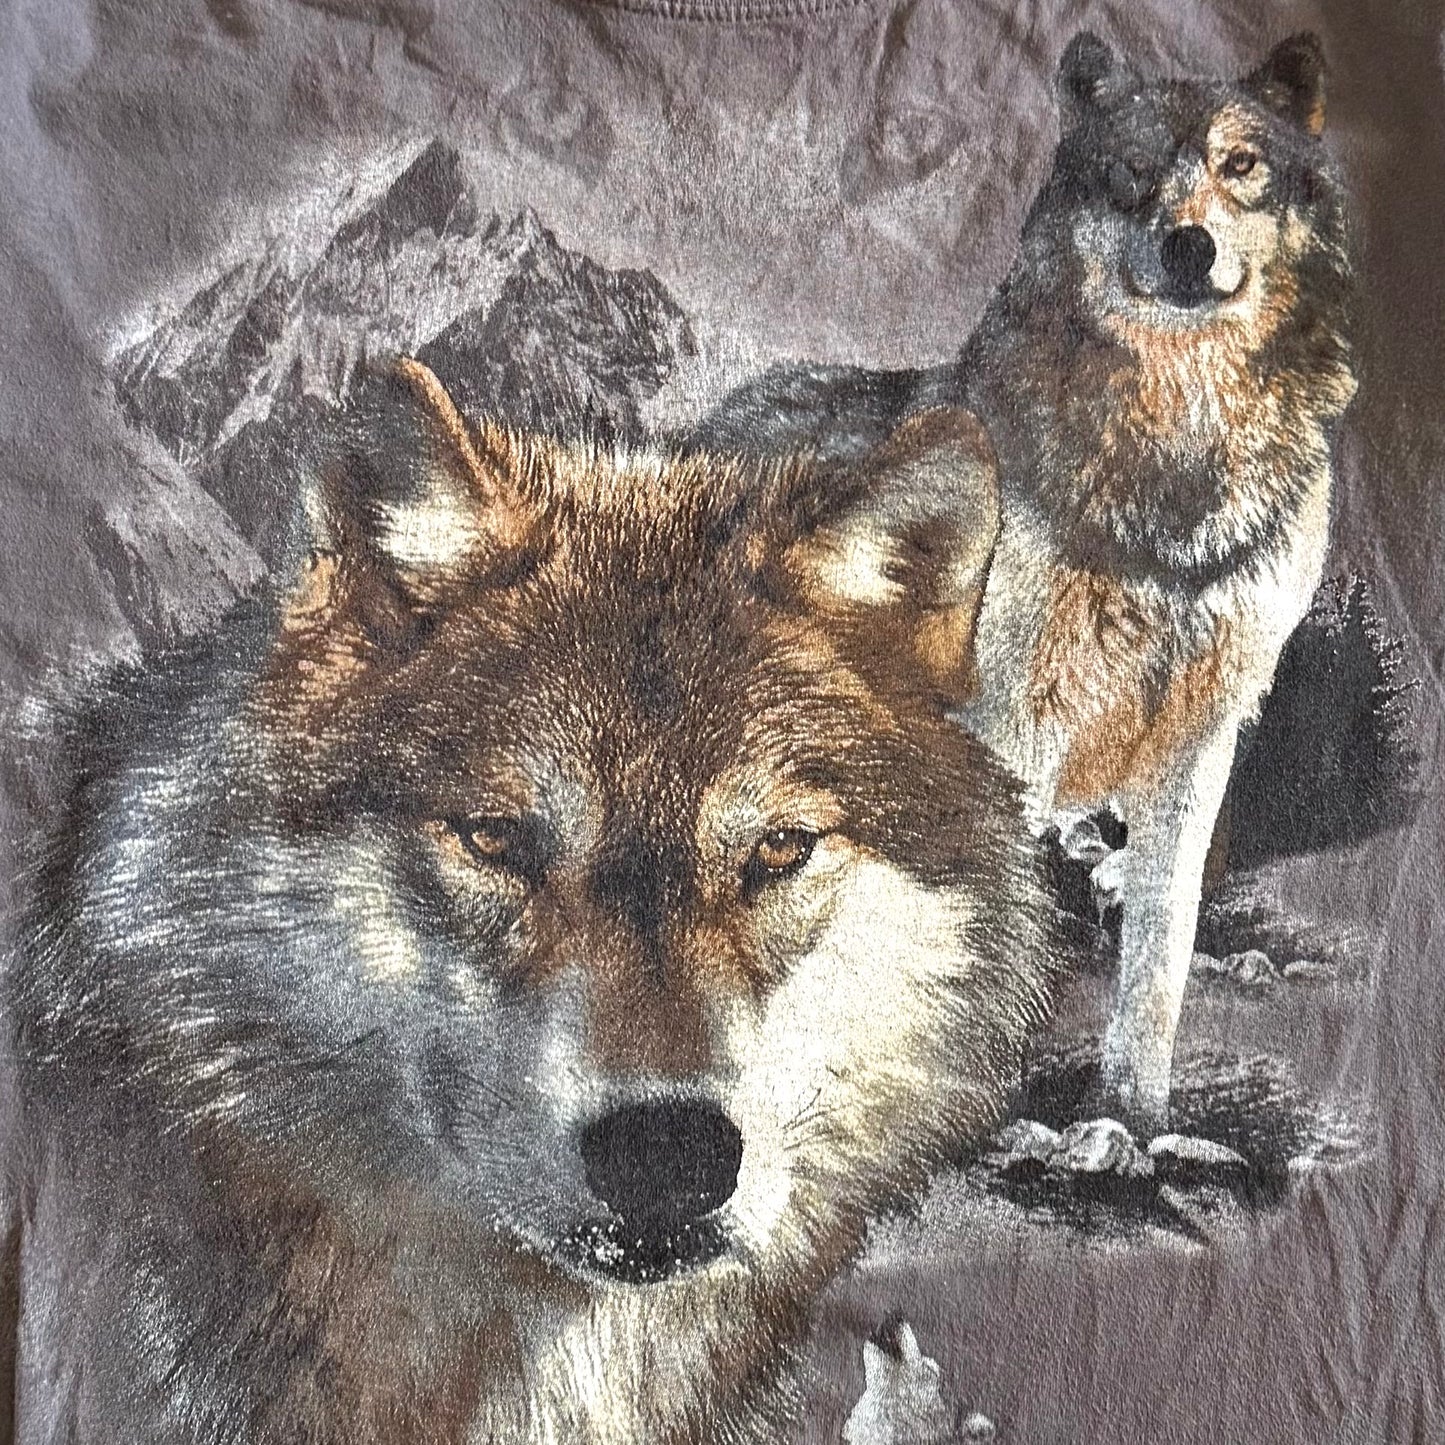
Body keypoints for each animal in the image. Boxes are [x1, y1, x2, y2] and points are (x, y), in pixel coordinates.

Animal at [695, 32, 1357, 1133]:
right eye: (1132, 173)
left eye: (1239, 166)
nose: (1187, 246)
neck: (1168, 491)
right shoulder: (1011, 727)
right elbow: (996, 927)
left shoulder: (1197, 743)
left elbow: (1161, 947)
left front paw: (1134, 1113)